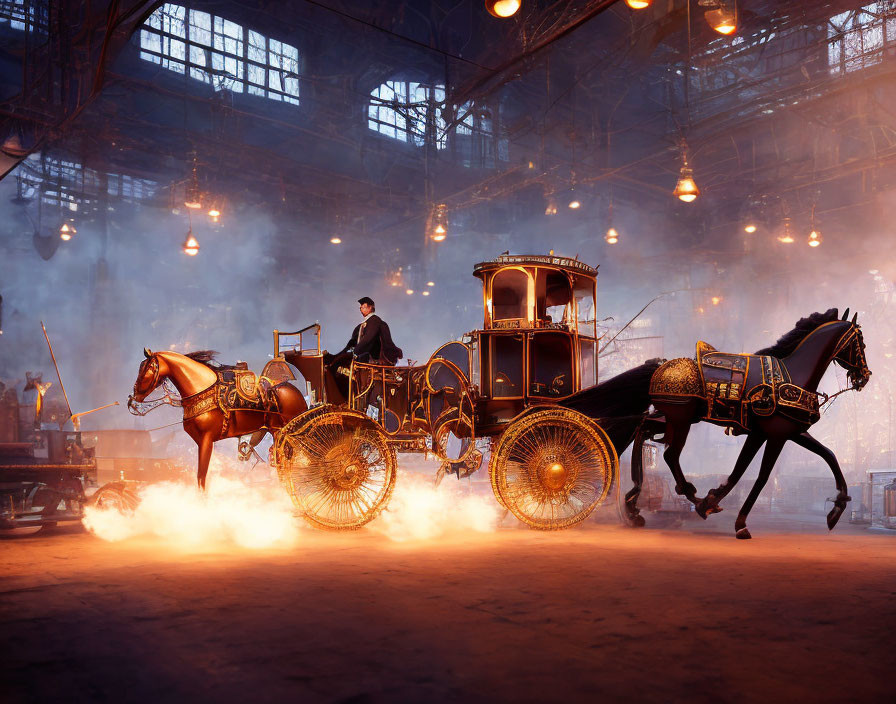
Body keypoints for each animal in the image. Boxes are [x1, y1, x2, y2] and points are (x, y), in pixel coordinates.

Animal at [126, 350, 308, 490]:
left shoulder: (206, 440)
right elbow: (200, 477)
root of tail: (295, 392)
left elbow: (201, 476)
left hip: (283, 434)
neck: (203, 390)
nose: (134, 398)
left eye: (149, 367)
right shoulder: (199, 441)